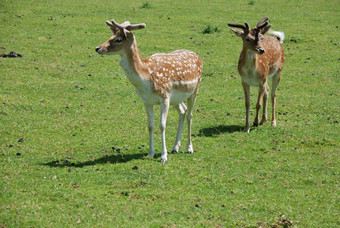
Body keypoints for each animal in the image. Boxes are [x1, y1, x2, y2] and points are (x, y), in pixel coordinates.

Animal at [95, 19, 202, 162]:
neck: (146, 78)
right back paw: (175, 147)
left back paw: (189, 148)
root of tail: (197, 56)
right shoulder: (146, 101)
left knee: (190, 115)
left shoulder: (164, 97)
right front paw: (150, 153)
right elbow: (150, 125)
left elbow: (162, 125)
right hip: (176, 99)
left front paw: (163, 156)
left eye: (118, 39)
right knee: (182, 111)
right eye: (111, 36)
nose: (98, 48)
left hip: (194, 90)